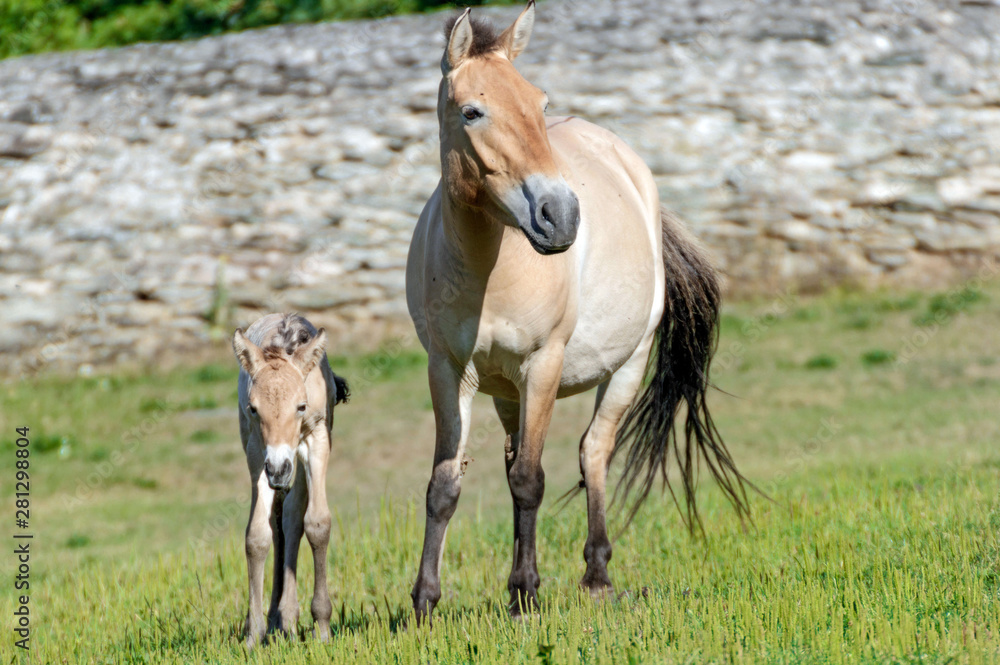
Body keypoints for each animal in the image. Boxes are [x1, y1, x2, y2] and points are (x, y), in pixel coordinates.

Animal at [232, 314, 349, 647]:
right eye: (253, 409)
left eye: (301, 406)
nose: (279, 469)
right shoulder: (257, 450)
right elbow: (257, 536)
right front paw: (254, 632)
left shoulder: (318, 437)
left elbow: (317, 524)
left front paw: (322, 627)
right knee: (279, 521)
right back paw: (277, 620)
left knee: (293, 517)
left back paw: (288, 618)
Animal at [405, 1, 750, 621]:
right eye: (472, 112)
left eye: (540, 104)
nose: (560, 215)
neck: (491, 266)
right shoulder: (449, 370)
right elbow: (445, 484)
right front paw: (425, 602)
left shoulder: (543, 365)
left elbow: (531, 480)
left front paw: (525, 593)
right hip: (505, 391)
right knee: (518, 458)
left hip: (625, 367)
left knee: (593, 453)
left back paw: (596, 575)